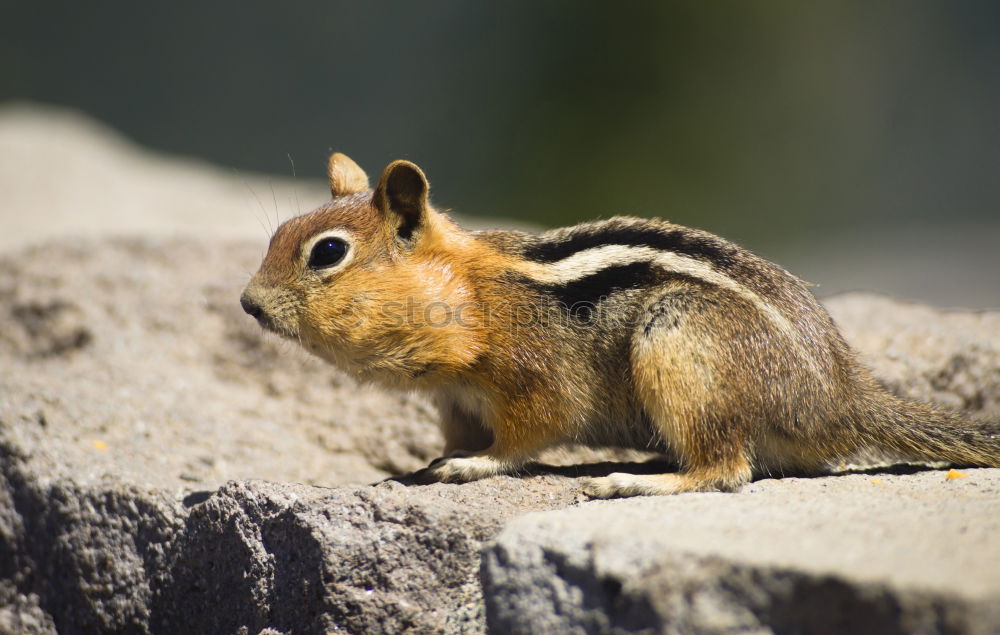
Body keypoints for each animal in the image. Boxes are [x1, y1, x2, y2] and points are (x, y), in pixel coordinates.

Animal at [240, 153, 1000, 496]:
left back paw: (636, 480)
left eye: (327, 253)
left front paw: (475, 465)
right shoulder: (455, 401)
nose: (248, 303)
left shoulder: (531, 378)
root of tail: (839, 398)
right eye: (275, 234)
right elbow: (455, 435)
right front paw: (426, 462)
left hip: (679, 338)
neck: (470, 294)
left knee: (726, 469)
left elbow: (527, 435)